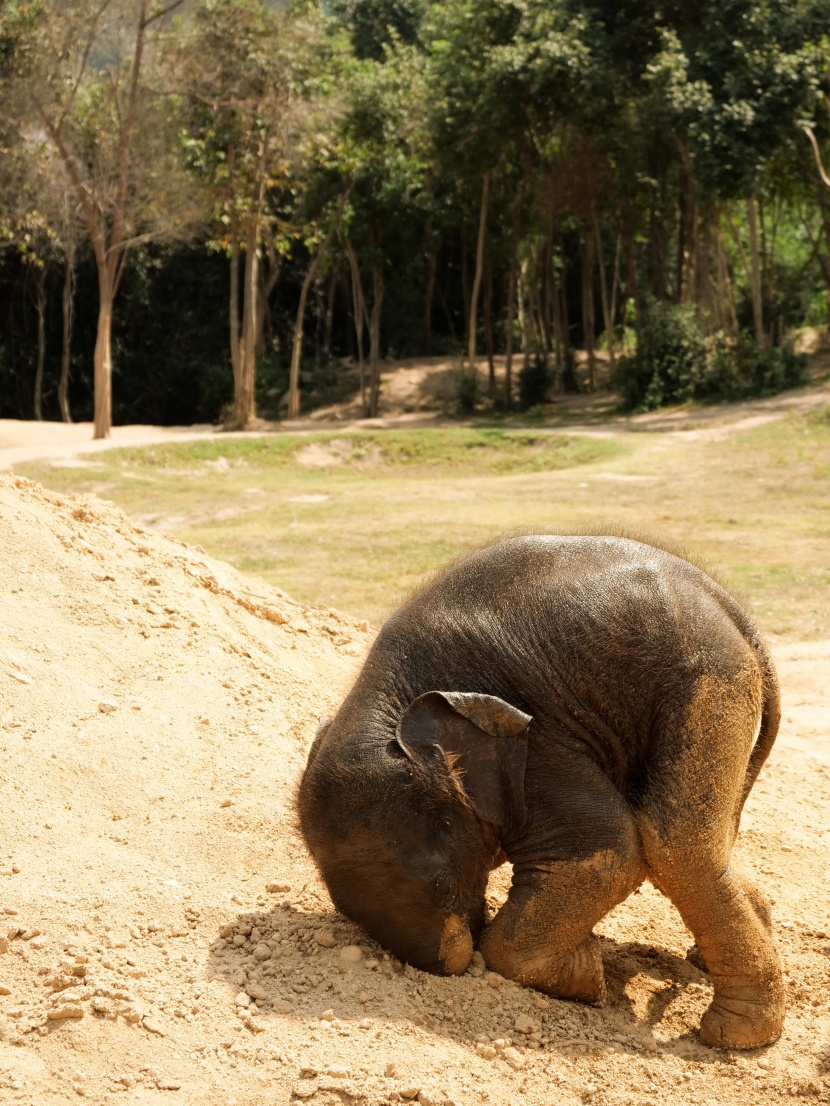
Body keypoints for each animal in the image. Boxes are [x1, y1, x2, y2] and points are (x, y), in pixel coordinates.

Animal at [298, 533, 787, 1044]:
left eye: (445, 887)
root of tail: (738, 618)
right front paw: (587, 967)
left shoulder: (538, 740)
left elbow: (604, 851)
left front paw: (590, 978)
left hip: (707, 684)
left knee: (677, 843)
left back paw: (734, 1035)